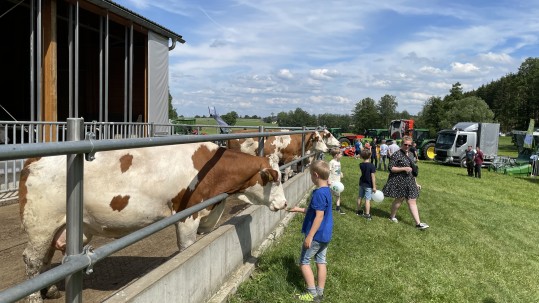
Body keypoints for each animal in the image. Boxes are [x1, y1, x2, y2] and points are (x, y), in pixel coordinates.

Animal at [17, 143, 286, 303]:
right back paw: (34, 297)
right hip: (40, 223)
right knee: (32, 260)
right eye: (276, 179)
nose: (284, 204)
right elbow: (186, 249)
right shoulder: (187, 214)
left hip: (60, 227)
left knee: (46, 257)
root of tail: (34, 159)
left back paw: (50, 290)